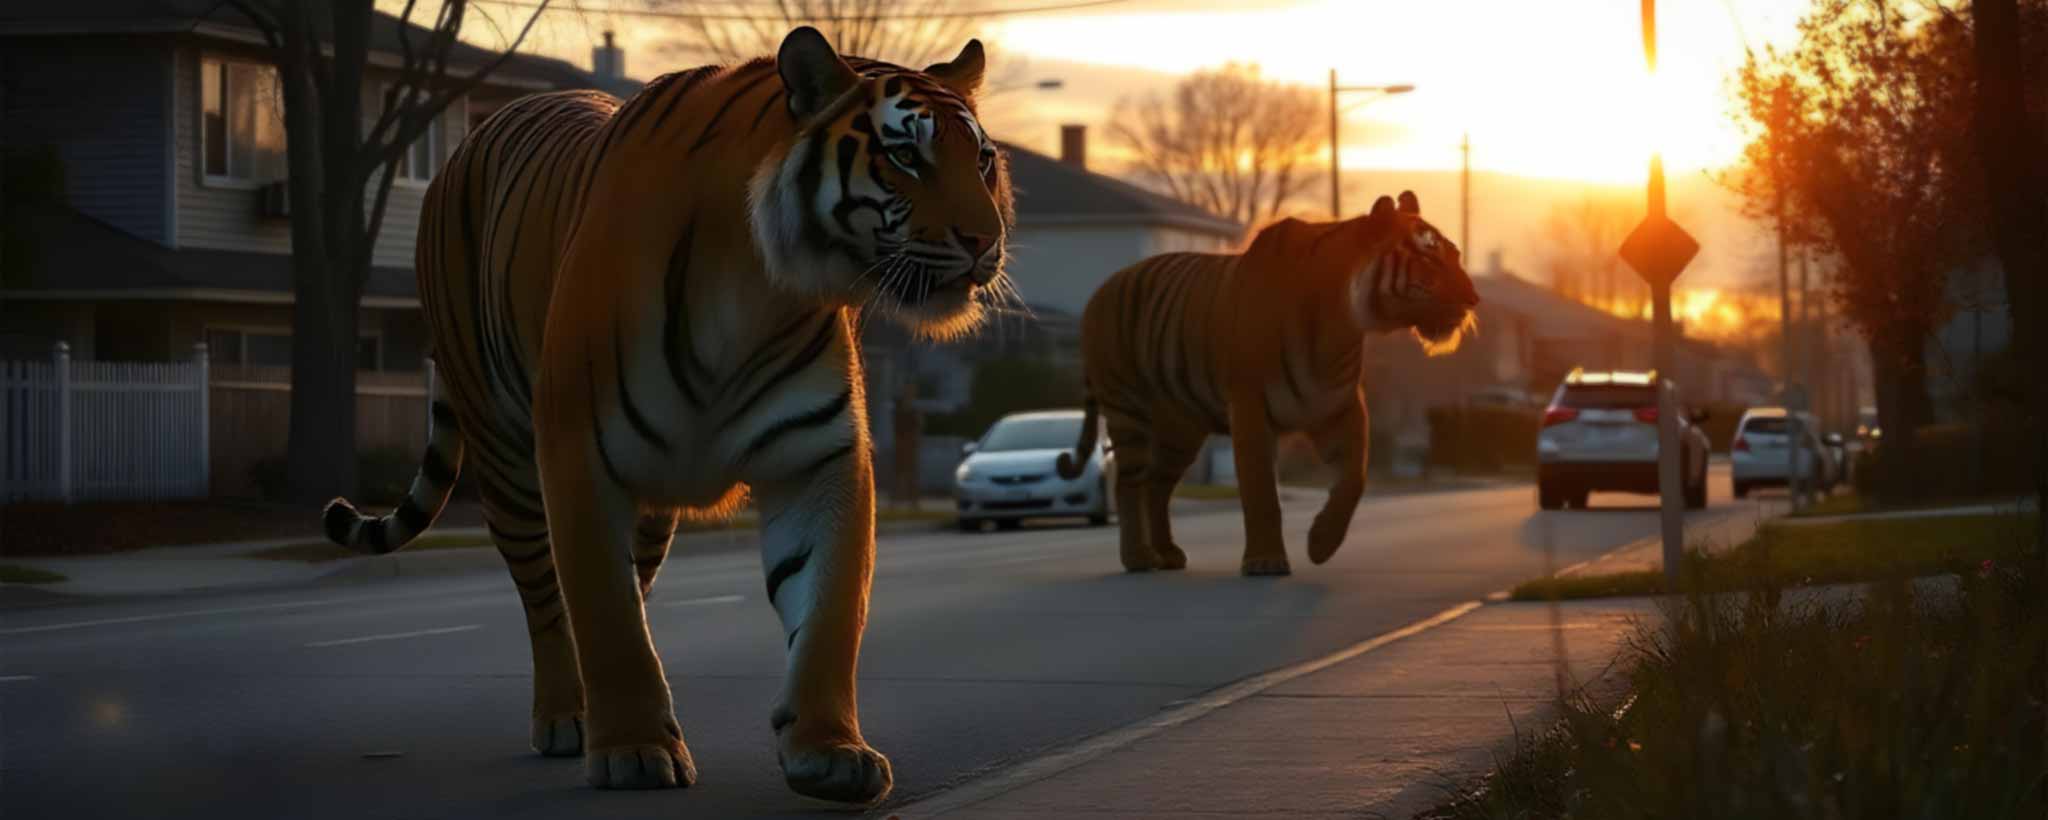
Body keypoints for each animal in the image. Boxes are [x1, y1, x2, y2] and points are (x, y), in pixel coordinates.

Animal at [317, 27, 1012, 803]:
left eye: (982, 160)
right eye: (905, 157)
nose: (985, 241)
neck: (759, 287)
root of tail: (474, 137)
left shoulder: (819, 457)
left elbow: (830, 608)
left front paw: (829, 750)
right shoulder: (577, 454)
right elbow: (605, 612)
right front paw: (634, 750)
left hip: (650, 505)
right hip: (506, 457)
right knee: (546, 598)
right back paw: (567, 717)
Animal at [1054, 192, 1477, 576]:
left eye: (1456, 254)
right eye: (1429, 258)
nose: (1474, 298)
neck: (1341, 326)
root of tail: (1101, 289)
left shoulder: (1338, 406)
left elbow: (1353, 480)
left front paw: (1321, 543)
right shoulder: (1250, 408)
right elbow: (1260, 491)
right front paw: (1266, 562)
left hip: (1180, 427)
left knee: (1157, 485)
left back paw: (1167, 555)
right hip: (1127, 408)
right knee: (1129, 484)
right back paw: (1138, 559)